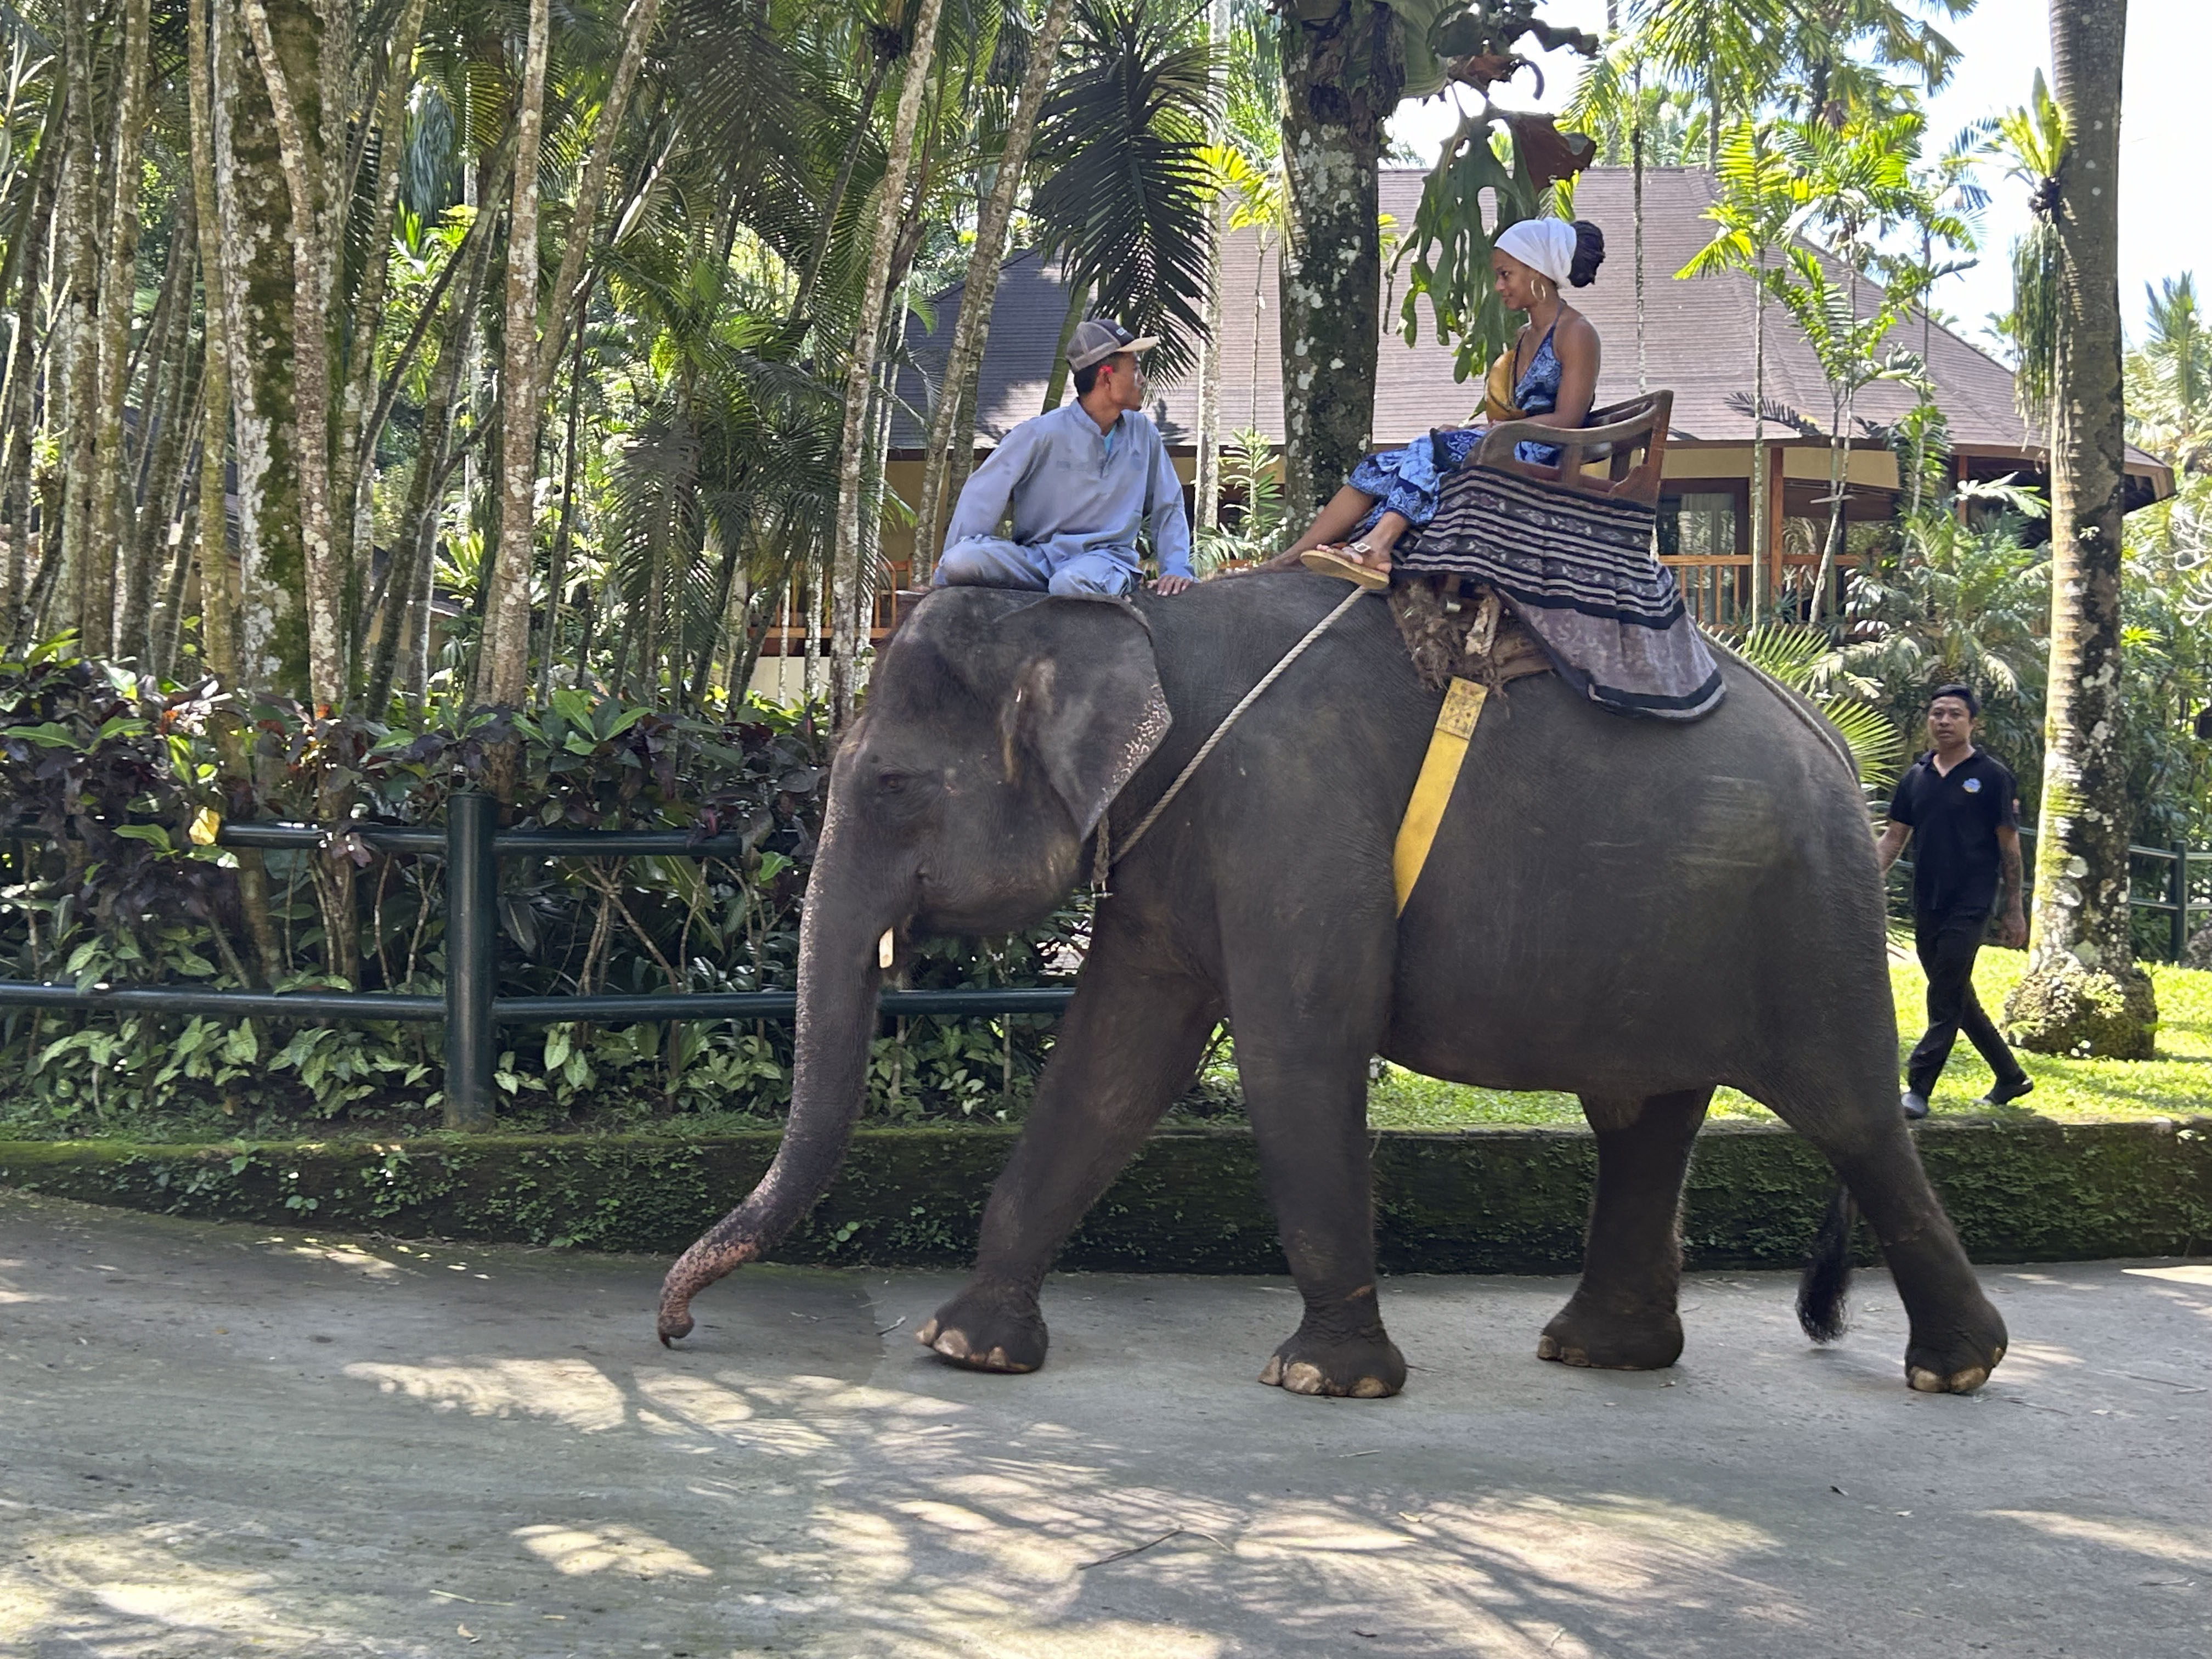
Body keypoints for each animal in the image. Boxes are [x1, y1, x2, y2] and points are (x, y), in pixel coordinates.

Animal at [650, 579, 2008, 1398]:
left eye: (886, 784)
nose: (675, 1330)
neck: (1130, 620)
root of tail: (1844, 747)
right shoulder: (1174, 857)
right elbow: (1112, 1064)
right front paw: (967, 1347)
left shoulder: (1290, 817)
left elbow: (1296, 1051)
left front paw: (1325, 1378)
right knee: (1642, 1116)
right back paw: (1597, 1352)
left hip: (1814, 919)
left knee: (1849, 1118)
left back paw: (1956, 1368)